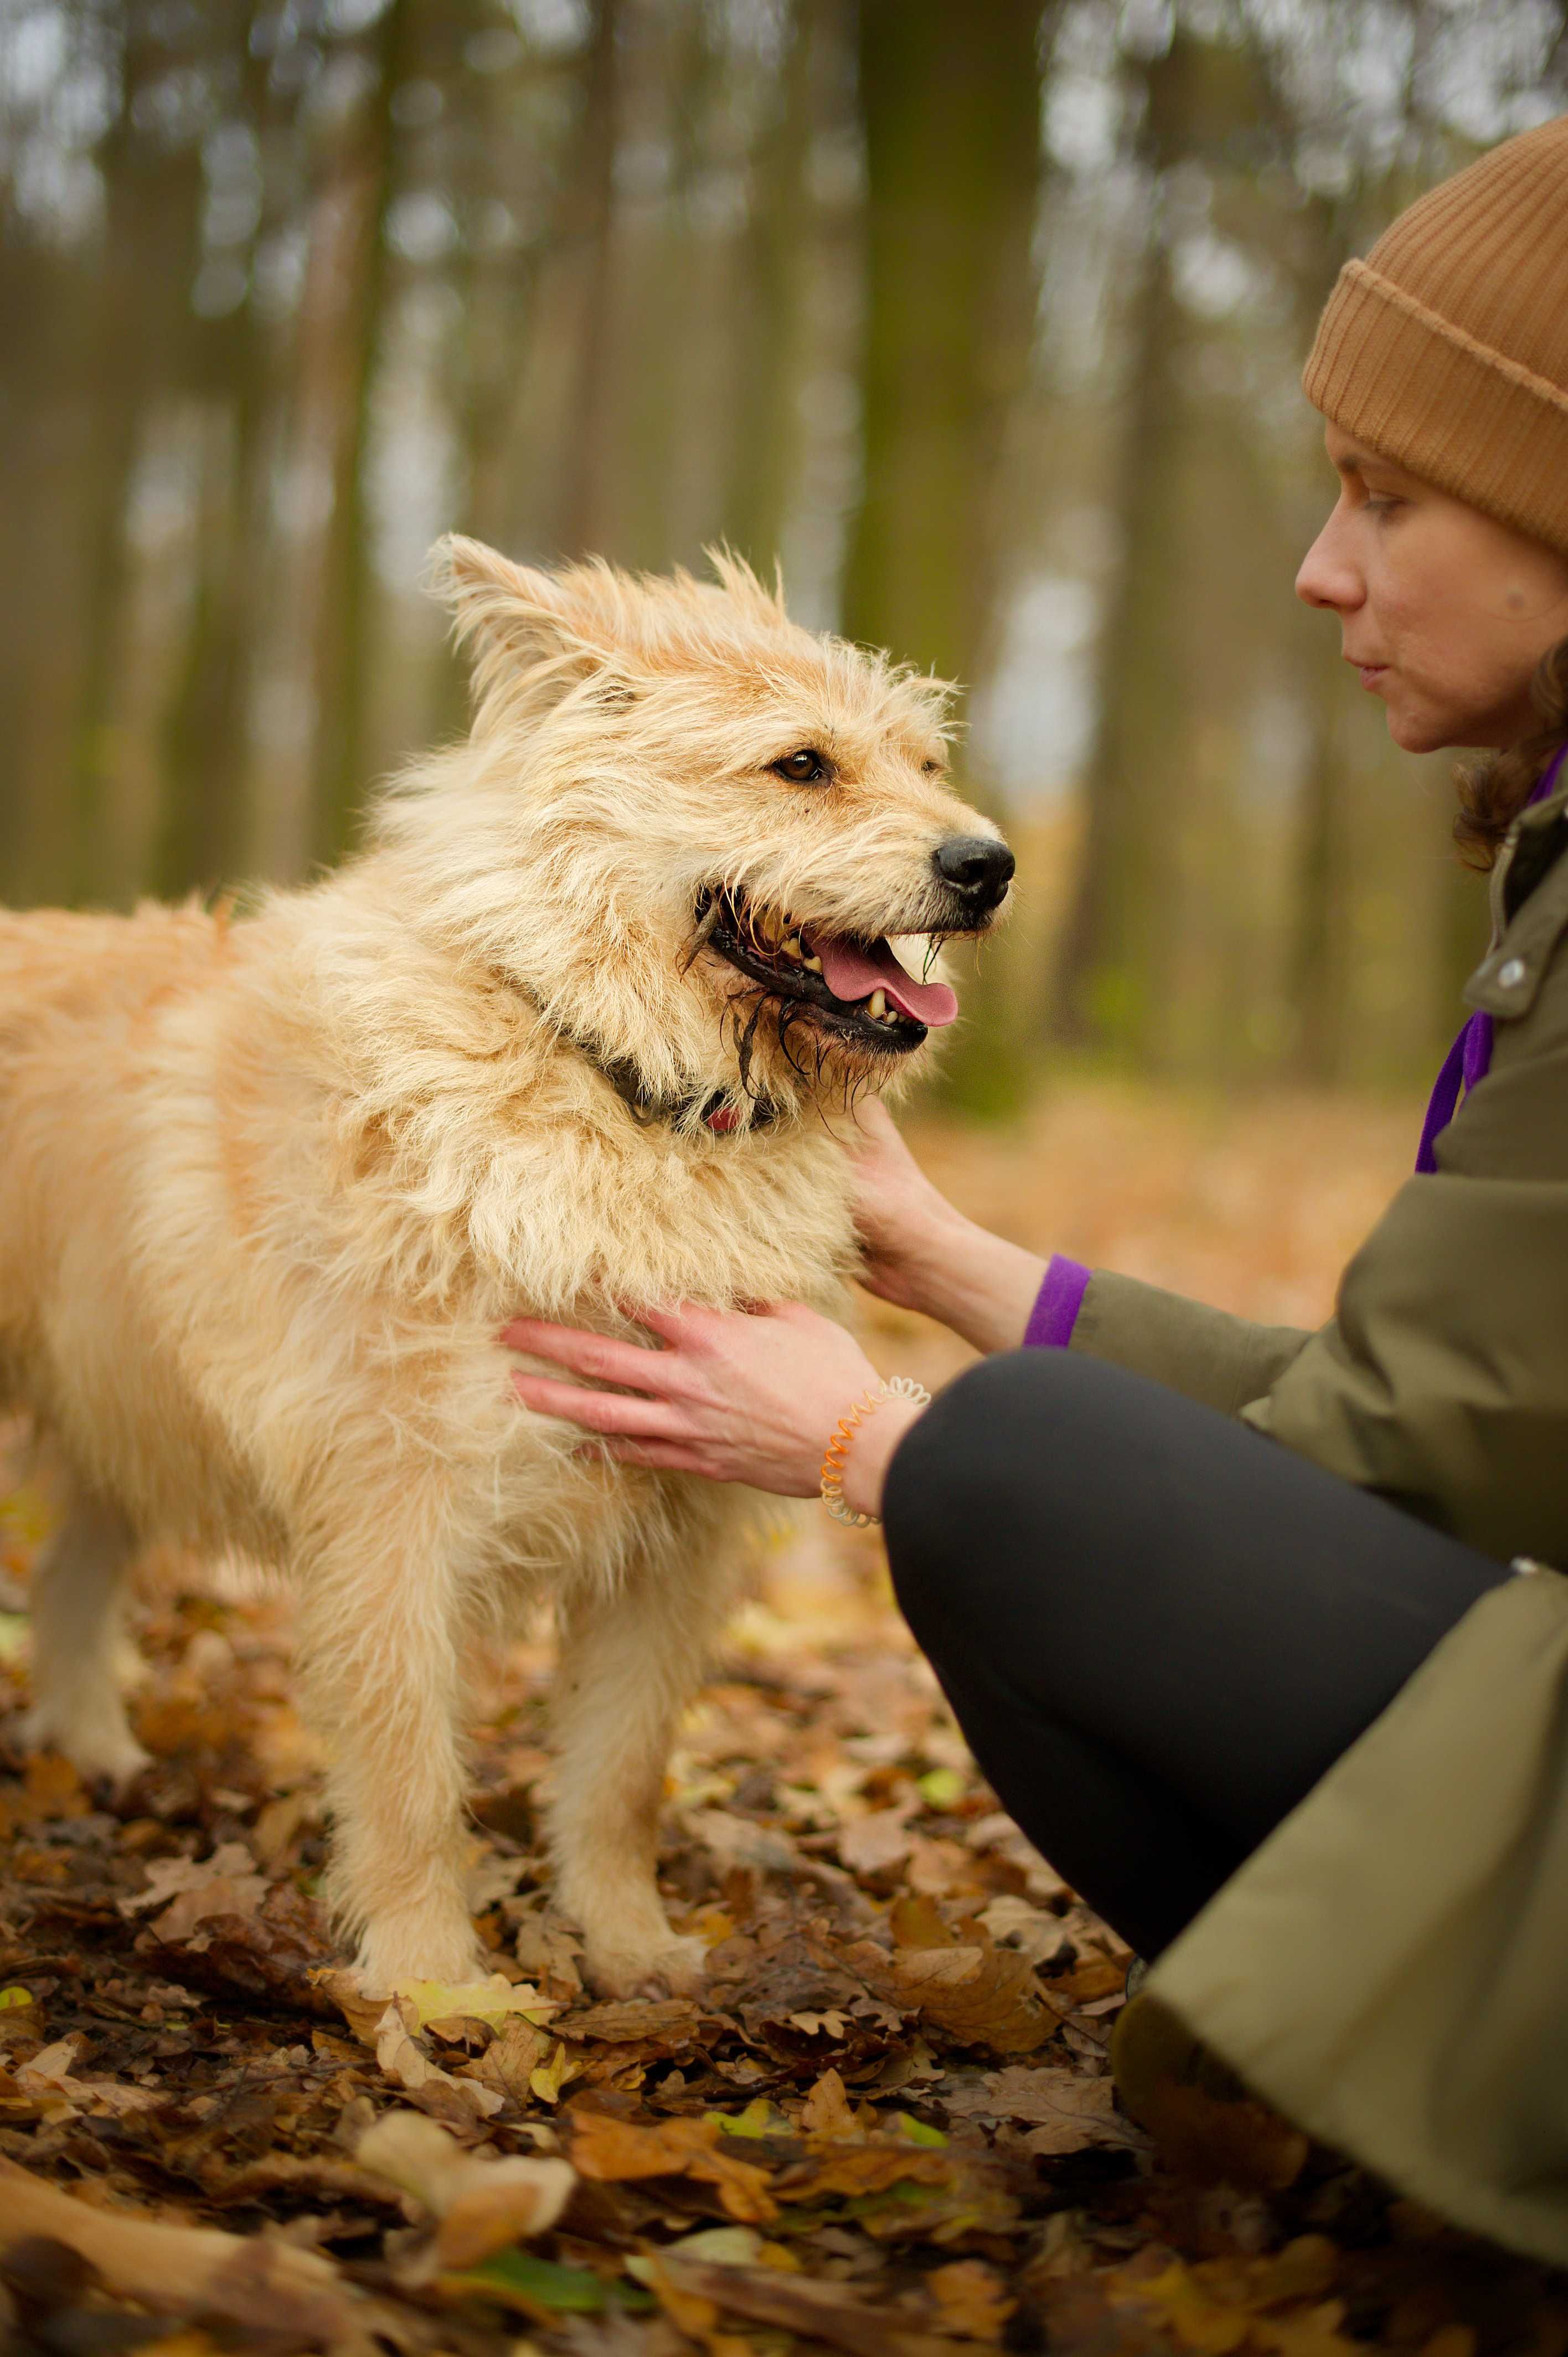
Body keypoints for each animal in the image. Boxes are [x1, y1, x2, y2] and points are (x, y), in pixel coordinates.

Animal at [0, 542, 1014, 1999]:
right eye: (801, 766)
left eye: (925, 762)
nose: (990, 865)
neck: (605, 1075)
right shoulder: (392, 1506)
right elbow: (413, 1775)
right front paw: (435, 1988)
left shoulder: (675, 1527)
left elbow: (621, 1772)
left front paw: (631, 1951)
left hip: (114, 1409)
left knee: (73, 1584)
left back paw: (100, 1760)